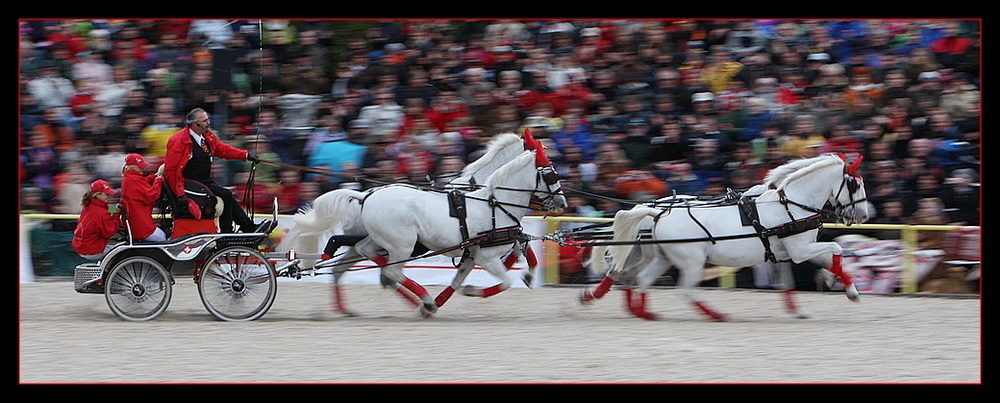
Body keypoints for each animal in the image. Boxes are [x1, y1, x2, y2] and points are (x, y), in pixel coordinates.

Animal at [584, 155, 868, 322]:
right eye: (855, 184)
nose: (864, 215)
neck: (790, 205)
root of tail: (656, 212)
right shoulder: (800, 250)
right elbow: (837, 247)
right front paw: (843, 286)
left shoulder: (790, 252)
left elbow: (799, 275)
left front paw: (845, 289)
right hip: (690, 261)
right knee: (682, 288)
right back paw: (716, 315)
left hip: (661, 257)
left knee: (635, 276)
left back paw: (640, 311)